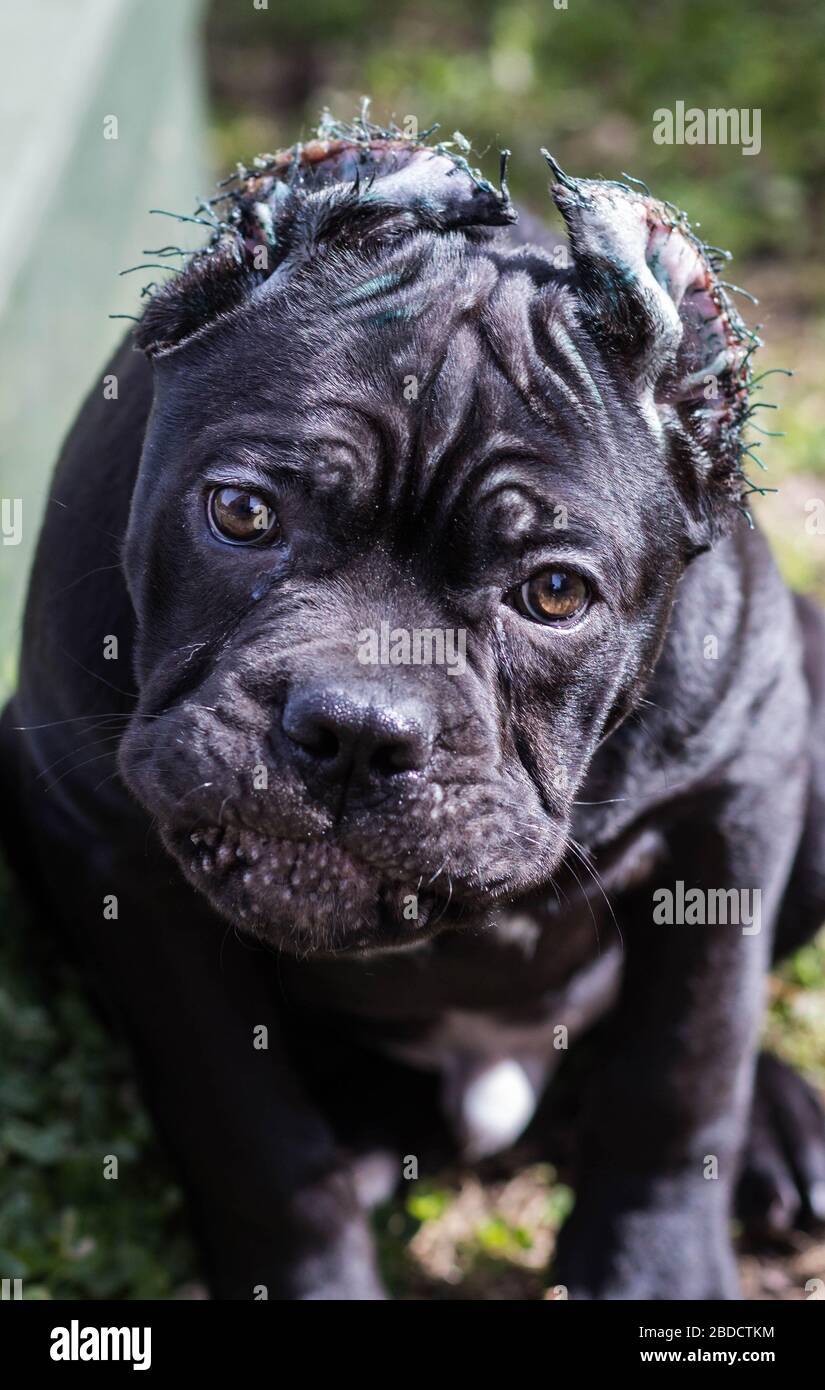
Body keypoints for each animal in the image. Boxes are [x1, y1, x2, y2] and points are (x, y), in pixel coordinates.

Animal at [1, 113, 822, 1295]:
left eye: (555, 593)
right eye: (241, 513)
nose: (355, 730)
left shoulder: (735, 789)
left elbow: (684, 1065)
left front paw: (652, 1270)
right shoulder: (117, 853)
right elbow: (247, 1128)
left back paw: (781, 1131)